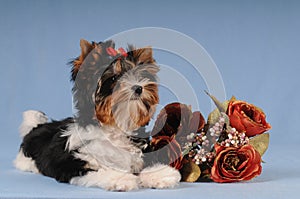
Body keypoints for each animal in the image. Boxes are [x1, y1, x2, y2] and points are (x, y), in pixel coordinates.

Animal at [14, 39, 180, 191]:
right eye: (113, 78)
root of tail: (37, 126)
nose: (139, 88)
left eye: (139, 75)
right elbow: (101, 171)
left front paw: (160, 174)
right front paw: (121, 179)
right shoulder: (75, 162)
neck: (114, 128)